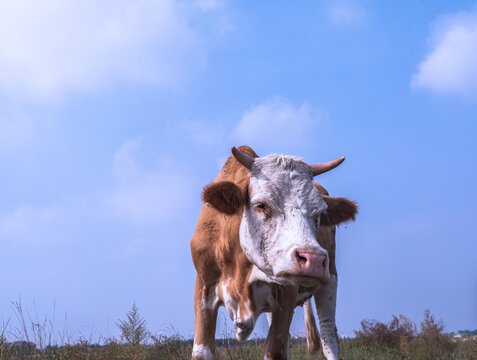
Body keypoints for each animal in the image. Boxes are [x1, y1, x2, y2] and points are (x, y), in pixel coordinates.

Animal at [188, 146, 356, 360]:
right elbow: (201, 351)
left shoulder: (287, 293)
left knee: (328, 335)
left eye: (319, 213)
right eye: (261, 205)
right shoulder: (204, 288)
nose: (313, 259)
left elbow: (275, 349)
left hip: (330, 277)